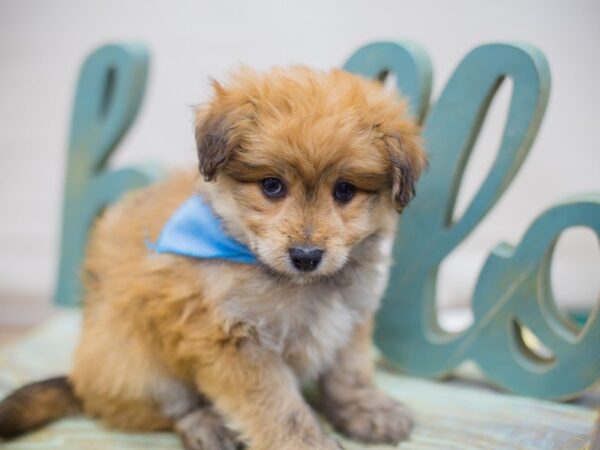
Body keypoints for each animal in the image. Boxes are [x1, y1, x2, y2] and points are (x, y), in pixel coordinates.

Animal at [0, 65, 426, 448]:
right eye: (272, 186)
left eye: (344, 190)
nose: (306, 256)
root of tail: (79, 381)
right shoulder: (233, 343)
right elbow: (279, 408)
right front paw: (306, 443)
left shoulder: (349, 319)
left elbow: (349, 375)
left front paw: (366, 409)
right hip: (137, 361)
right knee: (172, 407)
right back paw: (205, 424)